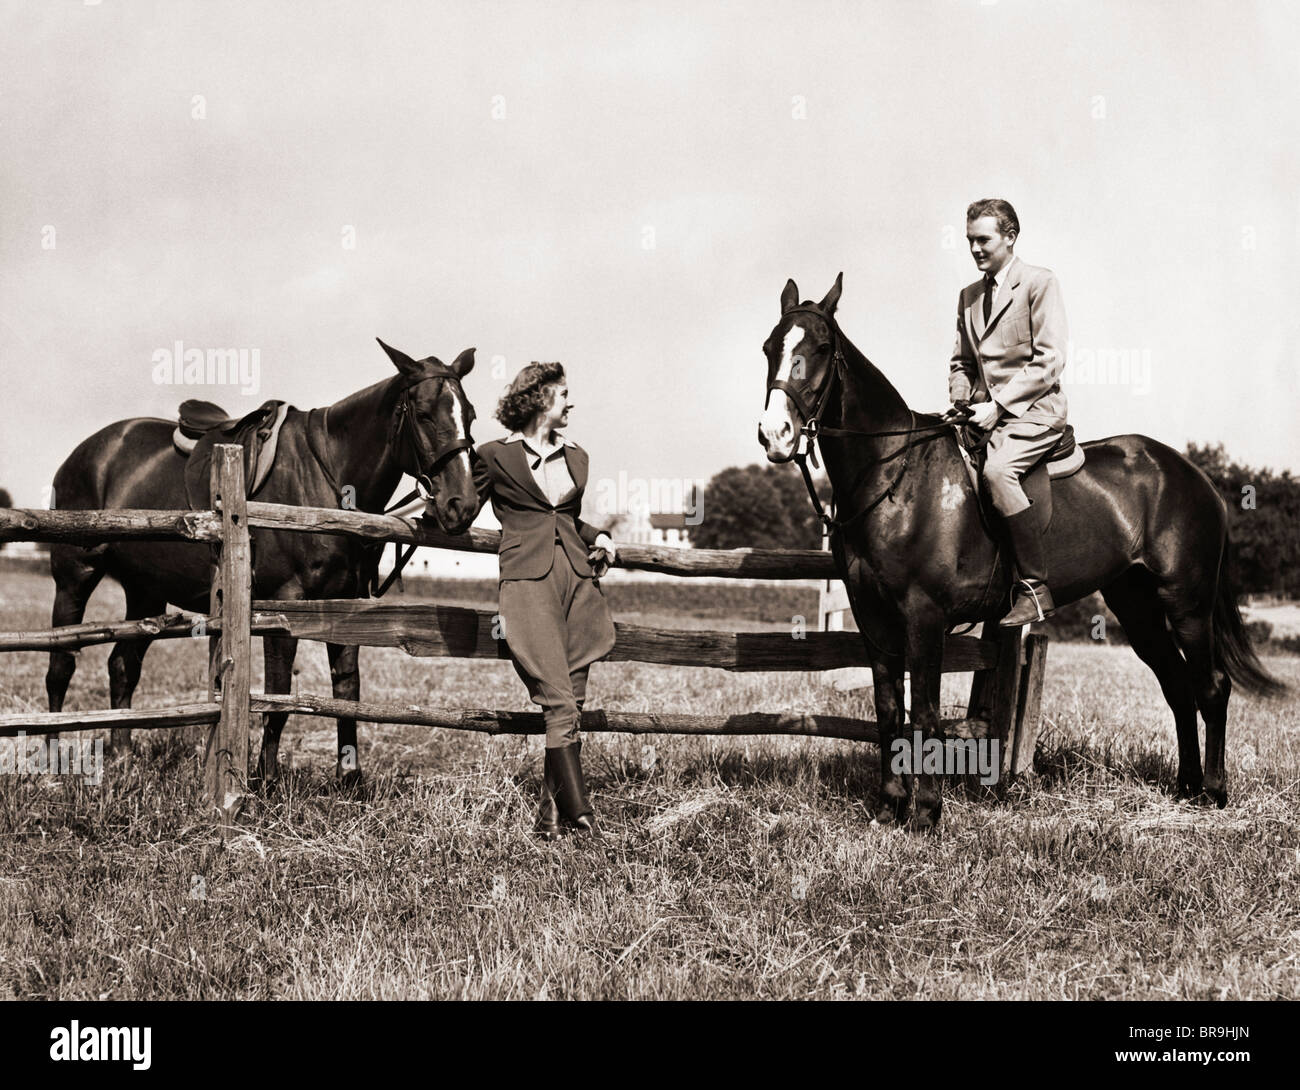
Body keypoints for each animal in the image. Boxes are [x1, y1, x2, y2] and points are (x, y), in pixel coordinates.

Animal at [45, 339, 480, 787]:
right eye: (424, 414)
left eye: (470, 414)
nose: (462, 504)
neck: (326, 476)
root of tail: (91, 450)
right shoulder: (282, 608)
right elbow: (278, 694)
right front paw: (266, 779)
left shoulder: (347, 606)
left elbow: (347, 689)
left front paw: (349, 777)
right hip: (75, 574)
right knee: (60, 664)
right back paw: (52, 762)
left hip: (145, 590)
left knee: (122, 666)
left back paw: (122, 757)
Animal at [757, 274, 1285, 830]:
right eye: (770, 347)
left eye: (821, 347)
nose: (775, 435)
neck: (894, 474)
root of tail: (1194, 475)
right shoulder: (873, 617)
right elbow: (887, 710)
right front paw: (888, 806)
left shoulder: (923, 616)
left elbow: (924, 712)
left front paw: (925, 813)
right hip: (1138, 607)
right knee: (1179, 687)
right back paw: (1185, 787)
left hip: (1187, 605)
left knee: (1211, 686)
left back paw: (1213, 791)